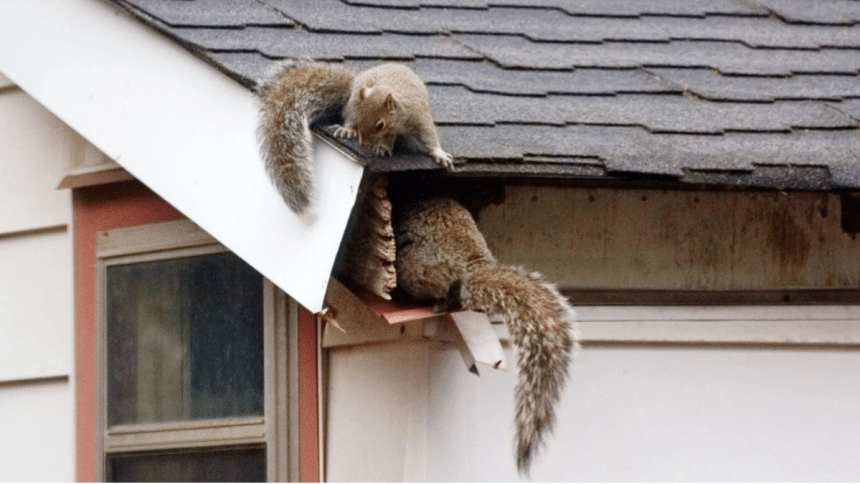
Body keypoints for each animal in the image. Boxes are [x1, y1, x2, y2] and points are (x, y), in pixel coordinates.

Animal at [257, 60, 453, 213]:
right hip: (353, 102)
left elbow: (429, 135)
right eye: (361, 117)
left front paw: (439, 153)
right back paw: (348, 130)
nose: (363, 142)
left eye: (380, 124)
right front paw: (376, 143)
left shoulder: (418, 116)